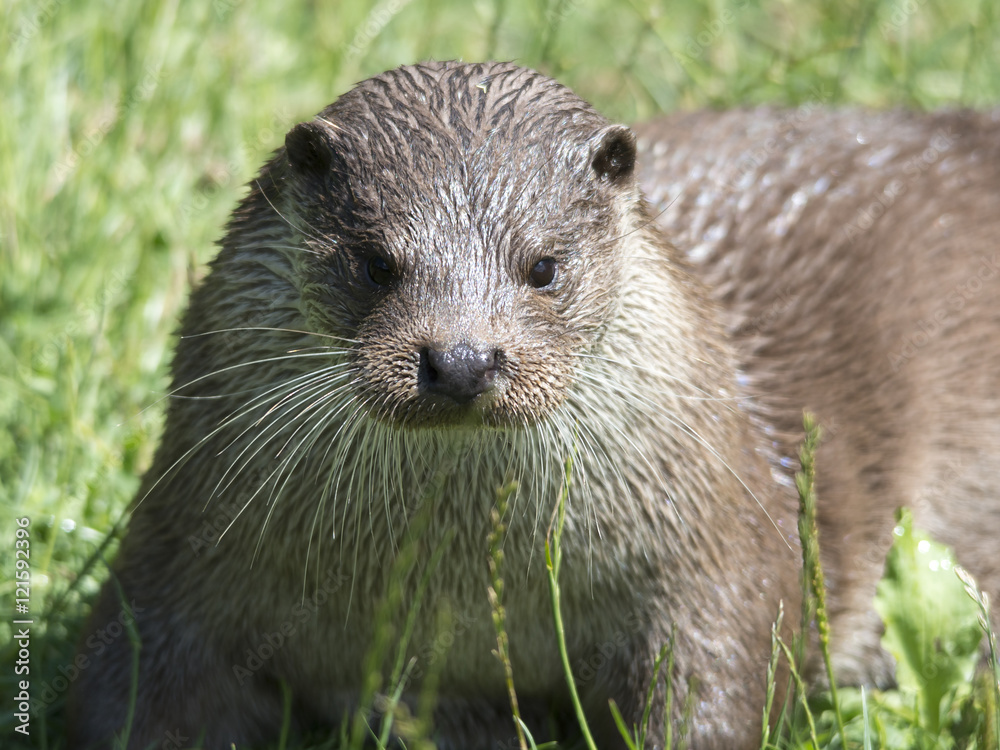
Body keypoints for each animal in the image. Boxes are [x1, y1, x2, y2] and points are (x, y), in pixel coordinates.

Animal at [68, 61, 1000, 749]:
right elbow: (130, 685)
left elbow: (719, 684)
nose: (461, 359)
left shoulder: (716, 563)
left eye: (543, 266)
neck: (454, 584)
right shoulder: (181, 557)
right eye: (375, 263)